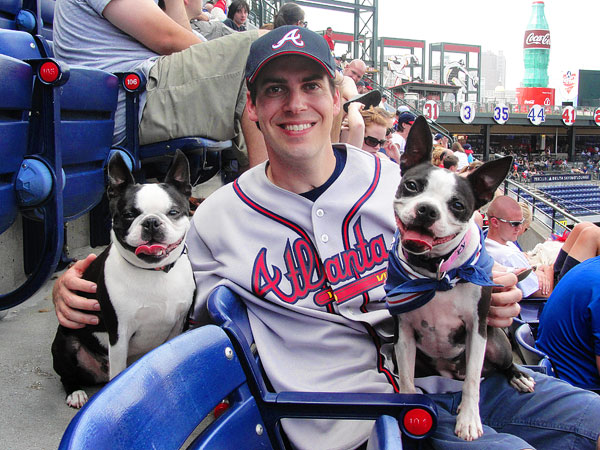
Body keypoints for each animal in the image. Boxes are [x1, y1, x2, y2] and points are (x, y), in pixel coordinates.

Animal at [51, 150, 196, 408]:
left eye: (173, 212)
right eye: (129, 215)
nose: (151, 222)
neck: (154, 272)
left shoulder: (178, 323)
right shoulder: (119, 334)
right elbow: (119, 372)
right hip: (65, 343)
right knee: (66, 375)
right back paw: (75, 392)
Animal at [386, 116, 536, 440]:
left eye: (457, 205)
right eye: (412, 186)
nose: (427, 210)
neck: (436, 272)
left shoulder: (476, 329)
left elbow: (471, 384)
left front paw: (468, 420)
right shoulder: (404, 334)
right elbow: (405, 380)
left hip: (497, 343)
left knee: (490, 369)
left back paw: (518, 376)